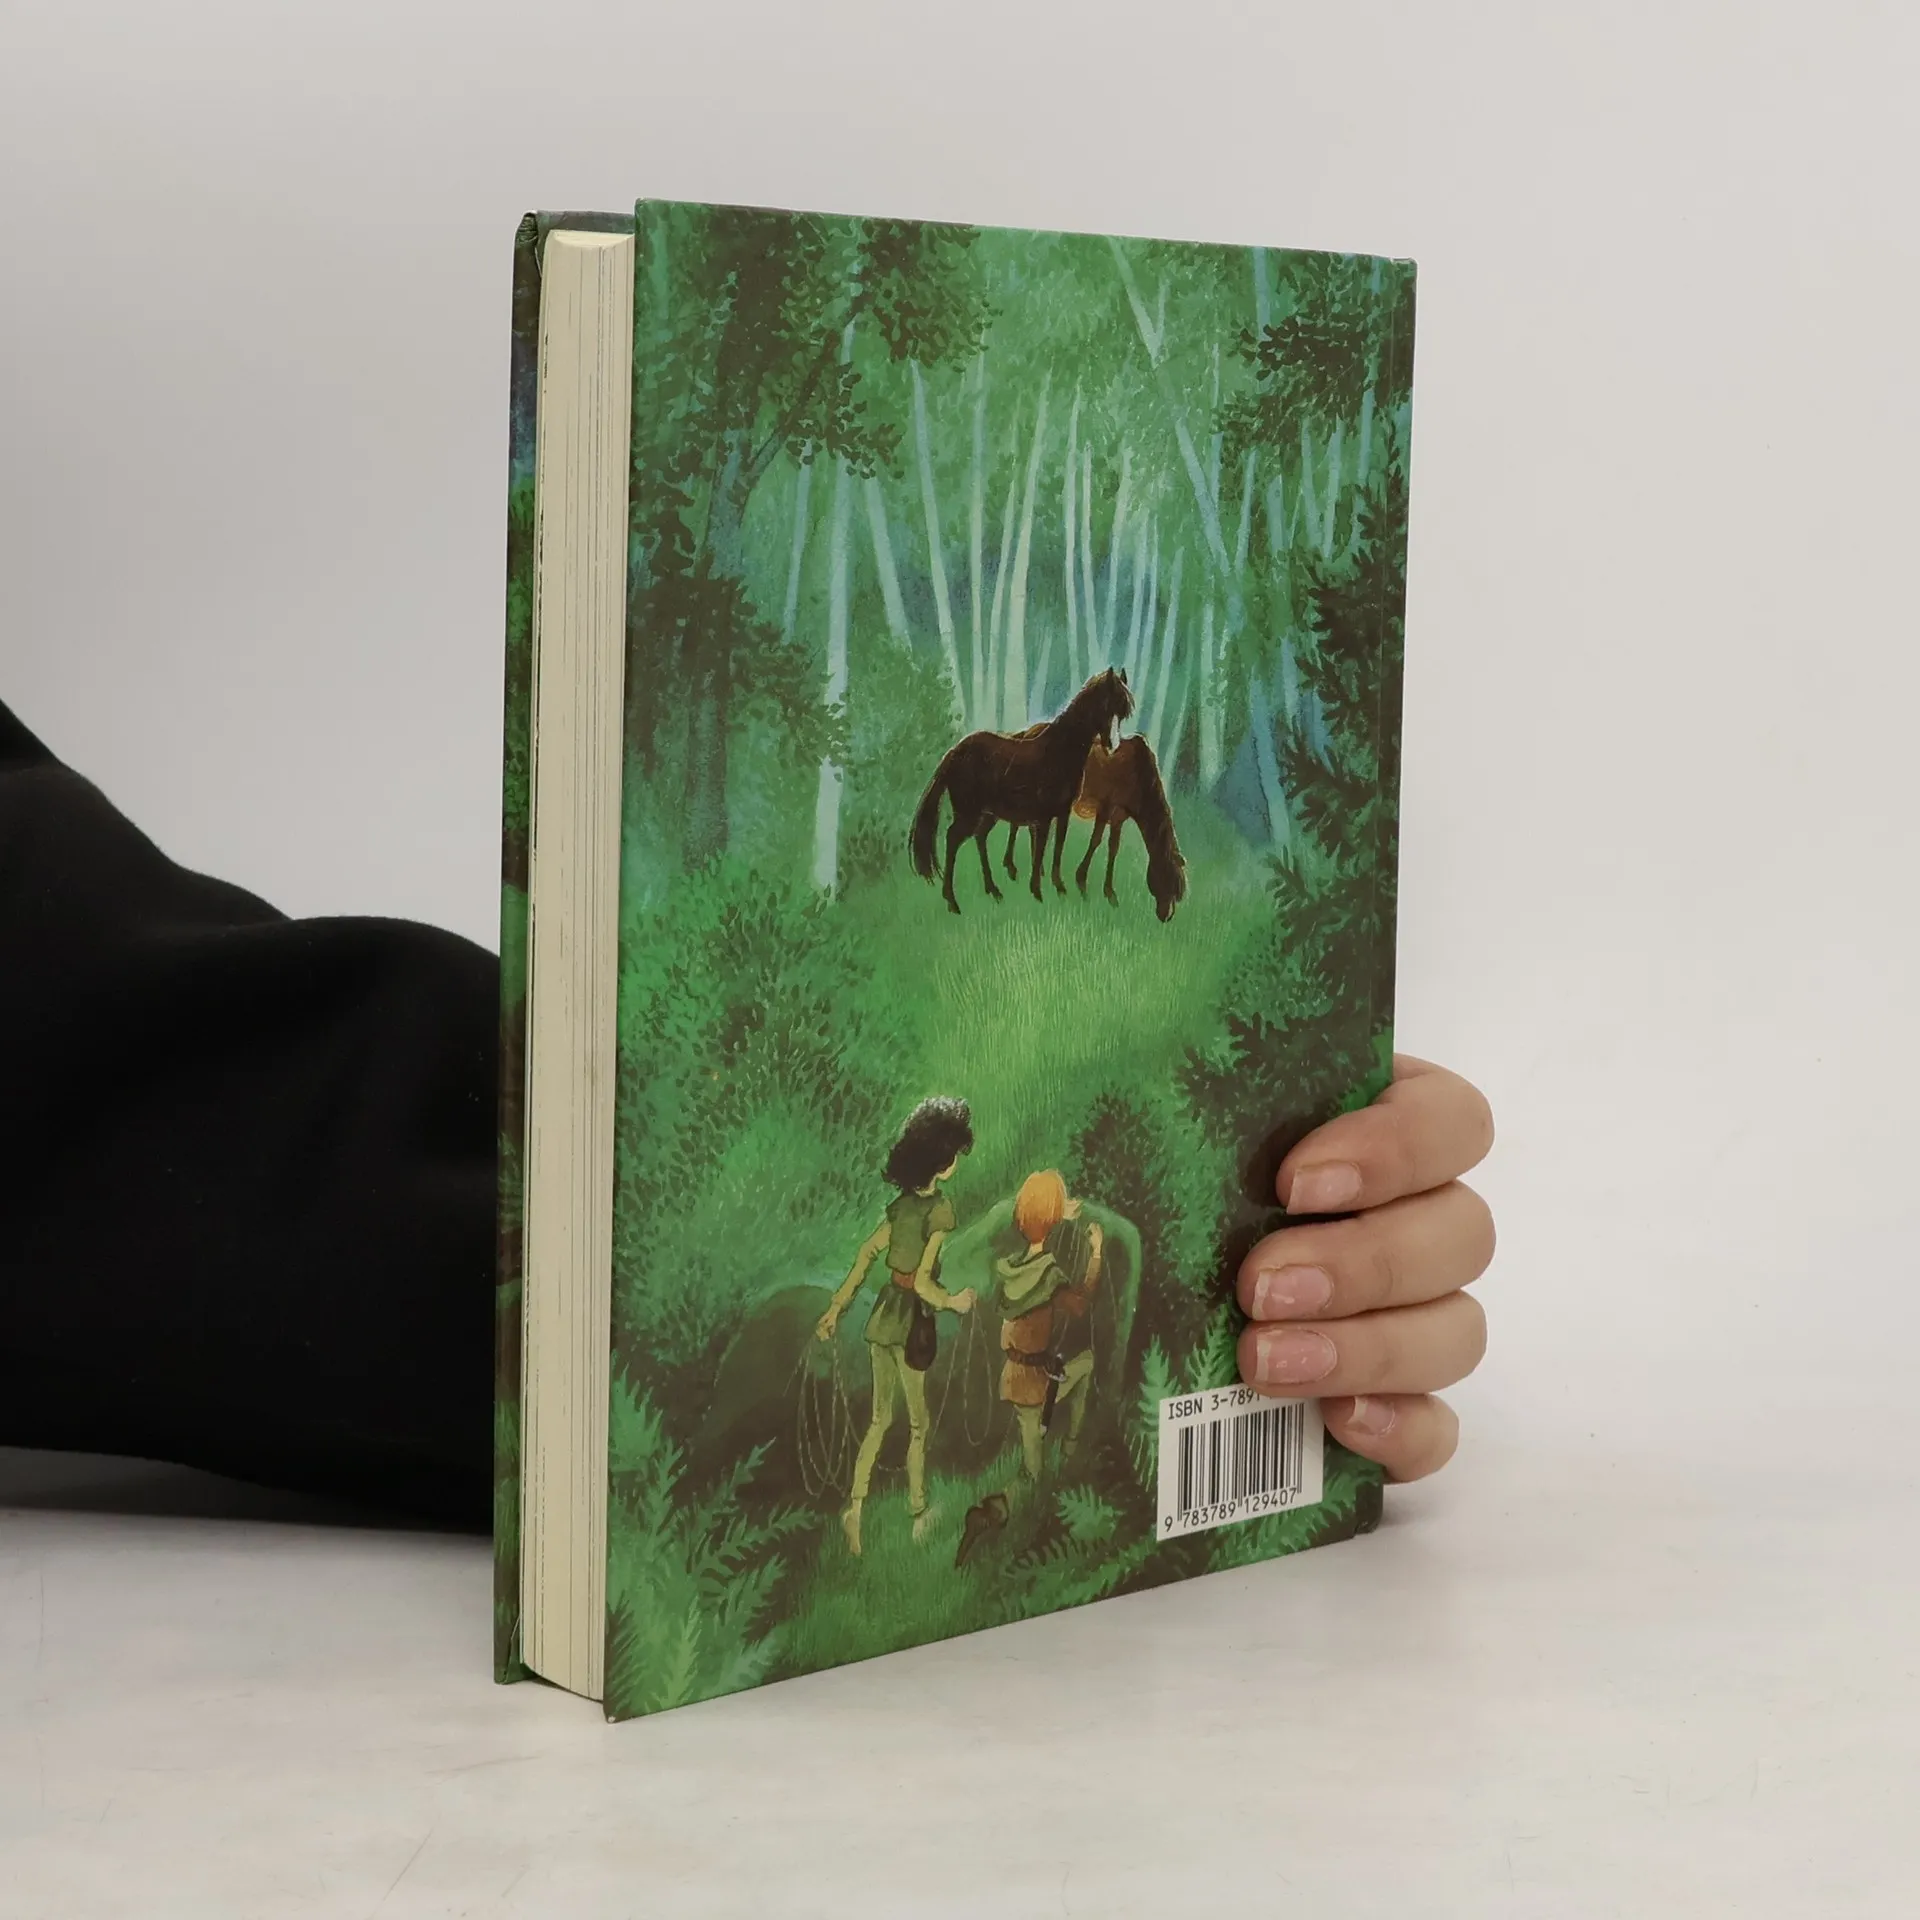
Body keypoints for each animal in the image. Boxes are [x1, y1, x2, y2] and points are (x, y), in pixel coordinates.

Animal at [909, 669, 1134, 914]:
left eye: (1123, 713)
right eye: (1106, 705)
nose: (1112, 746)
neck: (1059, 750)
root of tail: (954, 752)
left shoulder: (1062, 813)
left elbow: (1057, 849)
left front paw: (1059, 889)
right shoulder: (1043, 816)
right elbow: (1040, 850)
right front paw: (1037, 892)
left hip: (988, 813)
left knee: (980, 837)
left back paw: (993, 891)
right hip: (969, 813)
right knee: (953, 839)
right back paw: (952, 902)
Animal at [1071, 735, 1188, 921]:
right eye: (1168, 879)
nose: (1166, 916)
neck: (1140, 777)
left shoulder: (1119, 815)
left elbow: (1113, 847)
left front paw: (1110, 895)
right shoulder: (1106, 806)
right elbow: (1096, 840)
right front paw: (1082, 884)